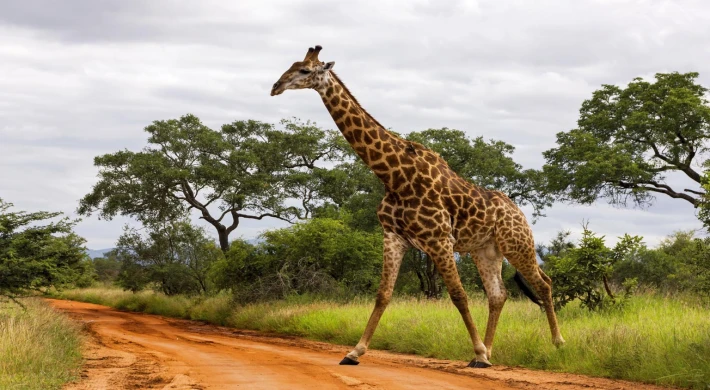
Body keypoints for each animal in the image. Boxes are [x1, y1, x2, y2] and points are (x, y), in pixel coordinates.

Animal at [270, 45, 564, 368]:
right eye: (291, 65)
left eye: (305, 70)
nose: (275, 86)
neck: (394, 176)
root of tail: (519, 212)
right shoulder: (393, 237)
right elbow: (383, 295)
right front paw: (354, 351)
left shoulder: (439, 239)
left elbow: (458, 294)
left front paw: (476, 350)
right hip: (485, 250)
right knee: (498, 295)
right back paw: (487, 354)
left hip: (517, 243)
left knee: (544, 283)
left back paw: (555, 343)